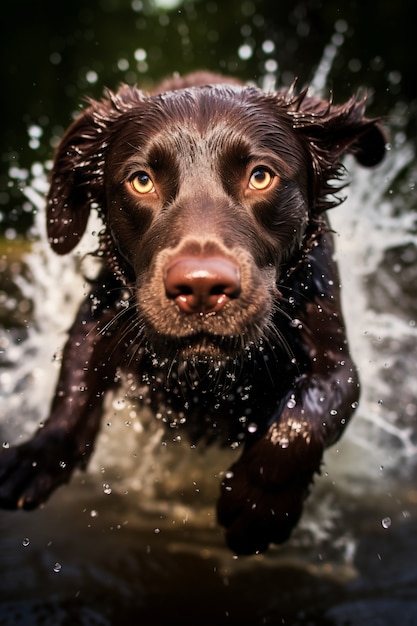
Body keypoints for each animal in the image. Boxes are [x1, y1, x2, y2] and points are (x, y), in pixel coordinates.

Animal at [0, 70, 384, 552]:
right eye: (141, 181)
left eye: (261, 176)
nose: (201, 287)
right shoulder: (105, 308)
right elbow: (77, 379)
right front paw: (37, 456)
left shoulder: (329, 342)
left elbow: (311, 410)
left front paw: (258, 506)